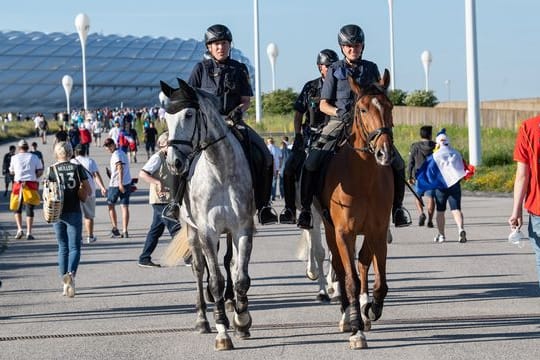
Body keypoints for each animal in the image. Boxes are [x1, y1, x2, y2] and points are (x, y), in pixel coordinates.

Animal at [159, 79, 254, 352]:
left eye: (189, 114)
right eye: (166, 118)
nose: (174, 163)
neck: (220, 168)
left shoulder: (242, 228)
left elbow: (241, 277)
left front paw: (242, 321)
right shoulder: (207, 232)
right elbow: (215, 281)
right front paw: (222, 331)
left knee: (230, 263)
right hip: (192, 231)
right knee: (200, 270)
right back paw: (202, 319)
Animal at [316, 68, 396, 348]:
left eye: (389, 106)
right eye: (361, 109)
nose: (384, 153)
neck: (363, 176)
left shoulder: (378, 231)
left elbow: (379, 281)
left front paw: (371, 309)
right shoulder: (343, 232)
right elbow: (349, 279)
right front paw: (356, 330)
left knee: (362, 262)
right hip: (330, 231)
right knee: (342, 270)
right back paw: (347, 316)